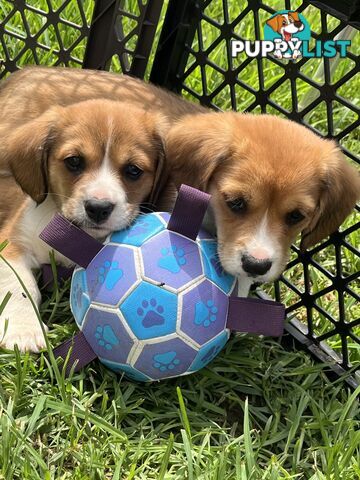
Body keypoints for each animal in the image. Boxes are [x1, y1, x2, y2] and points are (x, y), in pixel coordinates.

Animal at [0, 99, 168, 350]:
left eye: (133, 170)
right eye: (74, 161)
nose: (98, 208)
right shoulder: (12, 243)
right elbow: (19, 286)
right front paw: (24, 331)